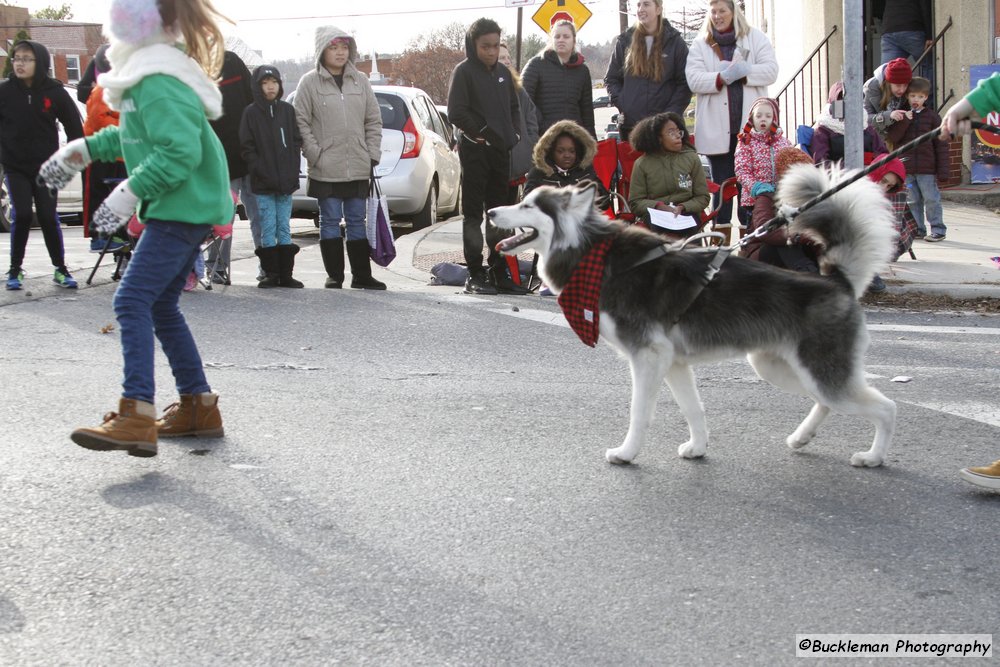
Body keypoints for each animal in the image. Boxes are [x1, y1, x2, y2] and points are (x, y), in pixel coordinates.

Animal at [490, 166, 900, 470]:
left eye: (528, 205)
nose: (491, 212)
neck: (598, 259)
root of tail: (836, 281)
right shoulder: (673, 363)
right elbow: (693, 409)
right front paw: (698, 447)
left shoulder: (648, 357)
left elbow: (640, 413)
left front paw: (627, 454)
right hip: (778, 368)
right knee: (827, 401)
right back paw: (802, 437)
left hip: (817, 372)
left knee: (885, 408)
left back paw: (873, 457)